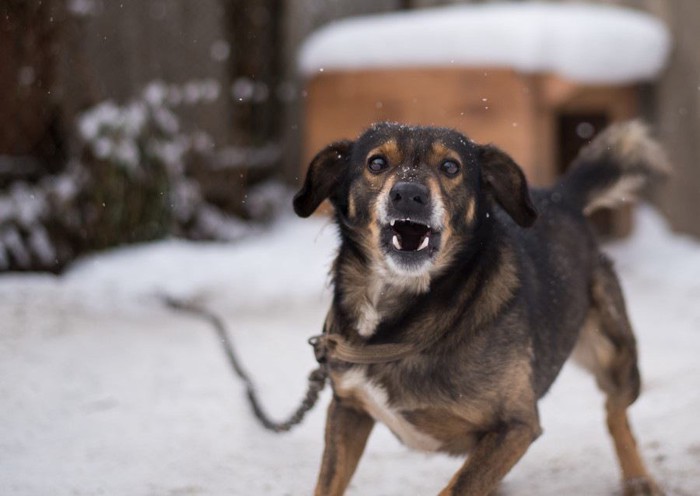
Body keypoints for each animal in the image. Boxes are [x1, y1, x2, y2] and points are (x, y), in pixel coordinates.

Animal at [294, 121, 668, 496]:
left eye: (450, 167)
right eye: (376, 163)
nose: (409, 194)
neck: (402, 311)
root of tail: (561, 198)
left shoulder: (516, 425)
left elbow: (457, 487)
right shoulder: (348, 409)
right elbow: (327, 484)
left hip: (615, 354)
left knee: (615, 410)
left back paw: (638, 478)